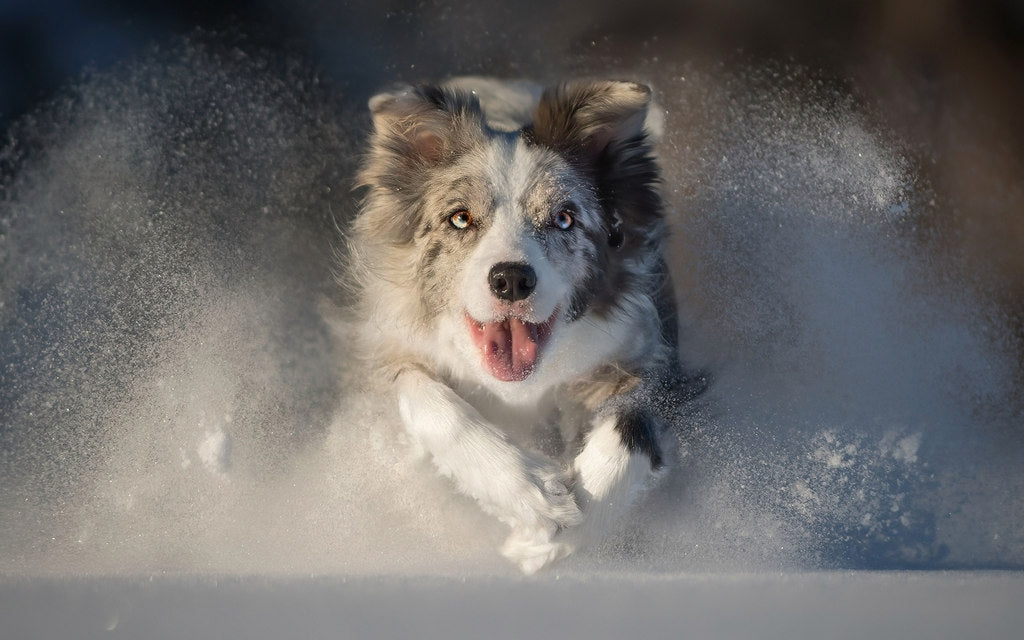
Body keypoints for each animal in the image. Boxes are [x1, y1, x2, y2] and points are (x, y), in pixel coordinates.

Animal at [344, 77, 704, 573]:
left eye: (564, 218)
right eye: (460, 218)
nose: (511, 279)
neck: (518, 391)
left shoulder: (652, 360)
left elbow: (631, 426)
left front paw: (561, 536)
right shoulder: (383, 353)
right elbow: (423, 394)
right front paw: (529, 494)